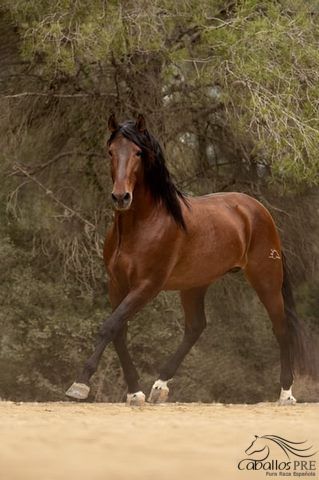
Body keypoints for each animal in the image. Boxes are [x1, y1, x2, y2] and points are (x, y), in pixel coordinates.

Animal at [66, 112, 318, 404]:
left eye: (139, 152)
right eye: (110, 151)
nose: (121, 197)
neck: (142, 225)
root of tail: (257, 209)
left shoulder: (146, 286)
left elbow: (109, 327)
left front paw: (80, 384)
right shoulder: (117, 285)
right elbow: (119, 332)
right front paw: (135, 392)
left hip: (266, 279)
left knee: (281, 329)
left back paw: (286, 393)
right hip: (195, 285)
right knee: (196, 327)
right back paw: (159, 386)